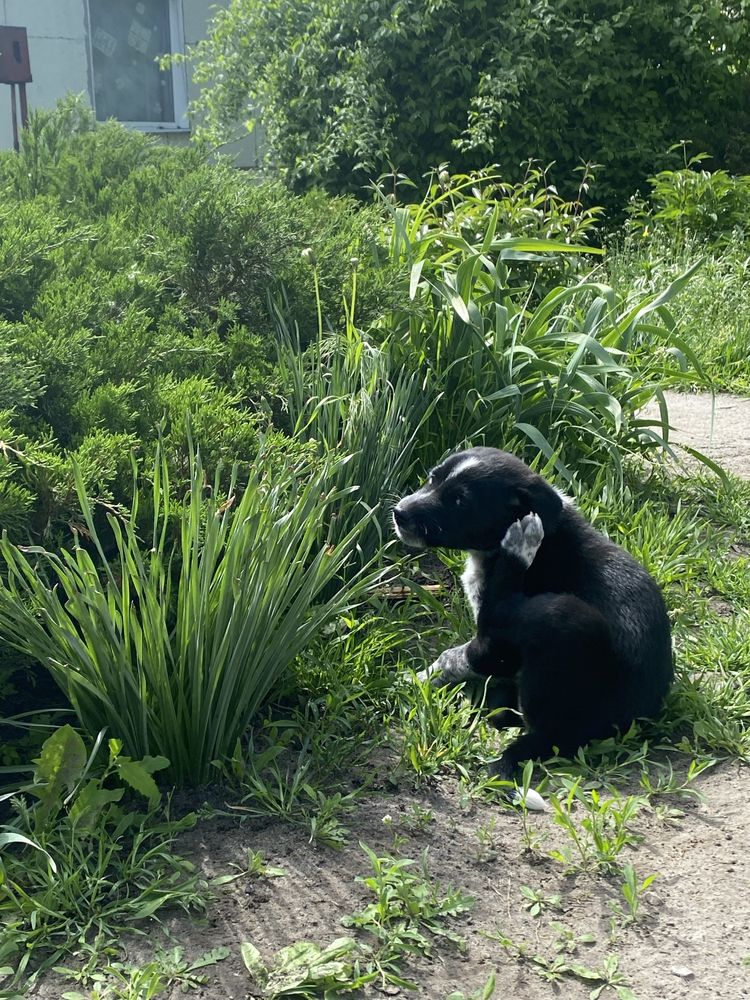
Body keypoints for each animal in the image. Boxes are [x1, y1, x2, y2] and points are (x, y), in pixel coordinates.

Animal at [394, 450, 676, 784]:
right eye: (432, 478)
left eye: (461, 501)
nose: (399, 513)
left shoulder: (494, 644)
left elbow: (458, 656)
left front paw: (417, 678)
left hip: (564, 615)